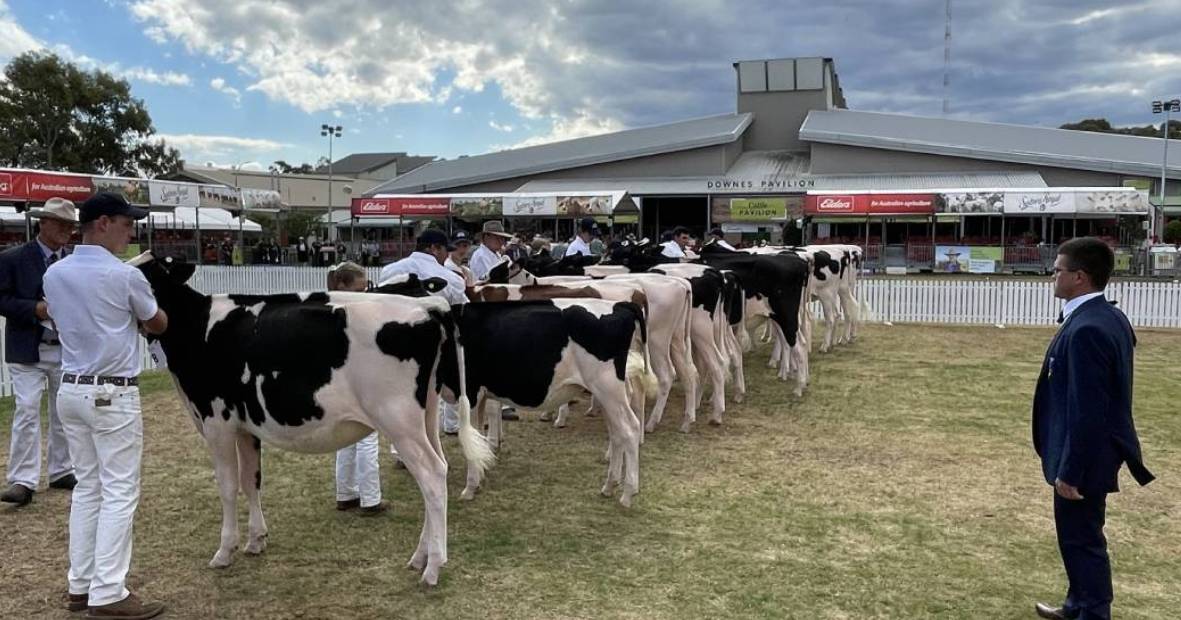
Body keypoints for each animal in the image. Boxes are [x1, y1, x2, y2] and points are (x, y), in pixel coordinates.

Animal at [131, 252, 491, 585]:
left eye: (144, 280)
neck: (197, 327)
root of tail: (428, 307)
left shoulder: (216, 421)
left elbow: (228, 486)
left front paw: (224, 551)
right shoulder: (247, 426)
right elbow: (251, 480)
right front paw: (256, 539)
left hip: (398, 421)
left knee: (431, 476)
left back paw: (432, 568)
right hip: (425, 415)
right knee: (440, 467)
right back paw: (421, 557)